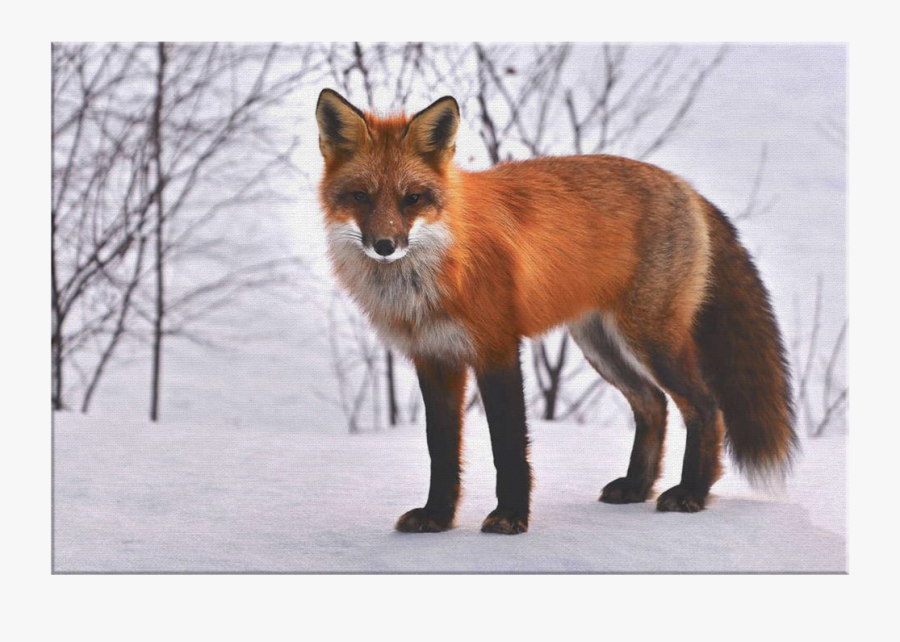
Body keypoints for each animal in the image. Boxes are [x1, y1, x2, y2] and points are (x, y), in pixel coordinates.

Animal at [315, 88, 796, 535]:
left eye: (412, 198)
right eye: (360, 196)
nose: (385, 245)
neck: (436, 271)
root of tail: (685, 186)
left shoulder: (497, 348)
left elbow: (508, 446)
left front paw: (510, 517)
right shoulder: (434, 358)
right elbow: (442, 450)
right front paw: (437, 517)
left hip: (651, 339)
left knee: (706, 407)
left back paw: (692, 492)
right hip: (601, 345)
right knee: (653, 404)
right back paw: (637, 487)